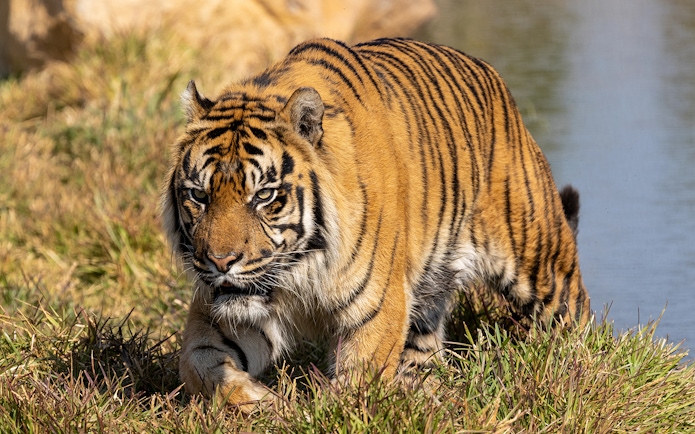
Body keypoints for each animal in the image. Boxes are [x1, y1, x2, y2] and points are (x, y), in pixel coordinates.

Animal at [160, 37, 590, 408]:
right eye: (199, 196)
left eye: (264, 195)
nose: (220, 262)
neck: (300, 271)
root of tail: (490, 75)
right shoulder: (221, 310)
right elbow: (195, 364)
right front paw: (259, 401)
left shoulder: (377, 306)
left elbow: (357, 383)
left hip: (539, 260)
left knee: (574, 314)